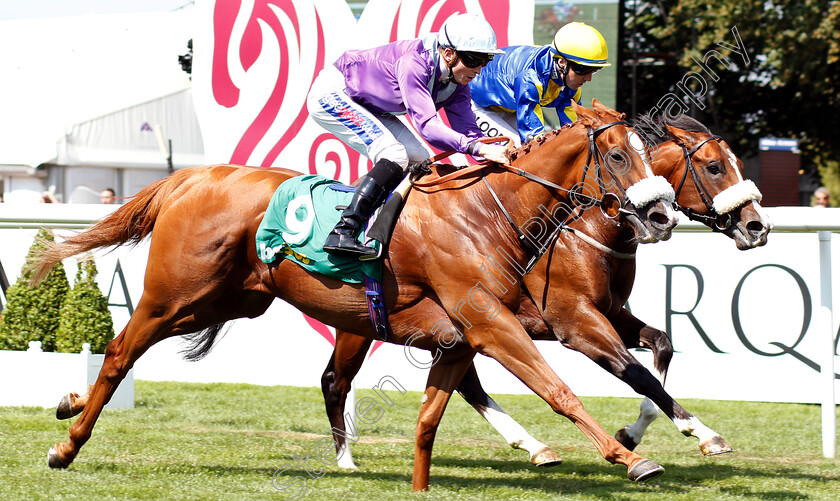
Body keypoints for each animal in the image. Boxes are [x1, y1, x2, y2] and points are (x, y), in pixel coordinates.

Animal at [29, 102, 680, 488]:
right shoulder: (503, 324)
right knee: (119, 352)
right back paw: (66, 445)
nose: (660, 214)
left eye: (651, 156)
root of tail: (196, 175)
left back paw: (68, 404)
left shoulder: (462, 336)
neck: (487, 216)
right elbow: (559, 390)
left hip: (226, 302)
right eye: (617, 155)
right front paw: (630, 456)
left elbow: (430, 418)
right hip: (173, 295)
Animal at [318, 107, 772, 466]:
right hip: (364, 322)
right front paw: (701, 433)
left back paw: (534, 446)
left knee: (464, 383)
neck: (589, 230)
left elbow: (660, 345)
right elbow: (637, 372)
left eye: (736, 163)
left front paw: (636, 433)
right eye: (714, 167)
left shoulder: (609, 313)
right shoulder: (573, 321)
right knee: (337, 380)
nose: (758, 226)